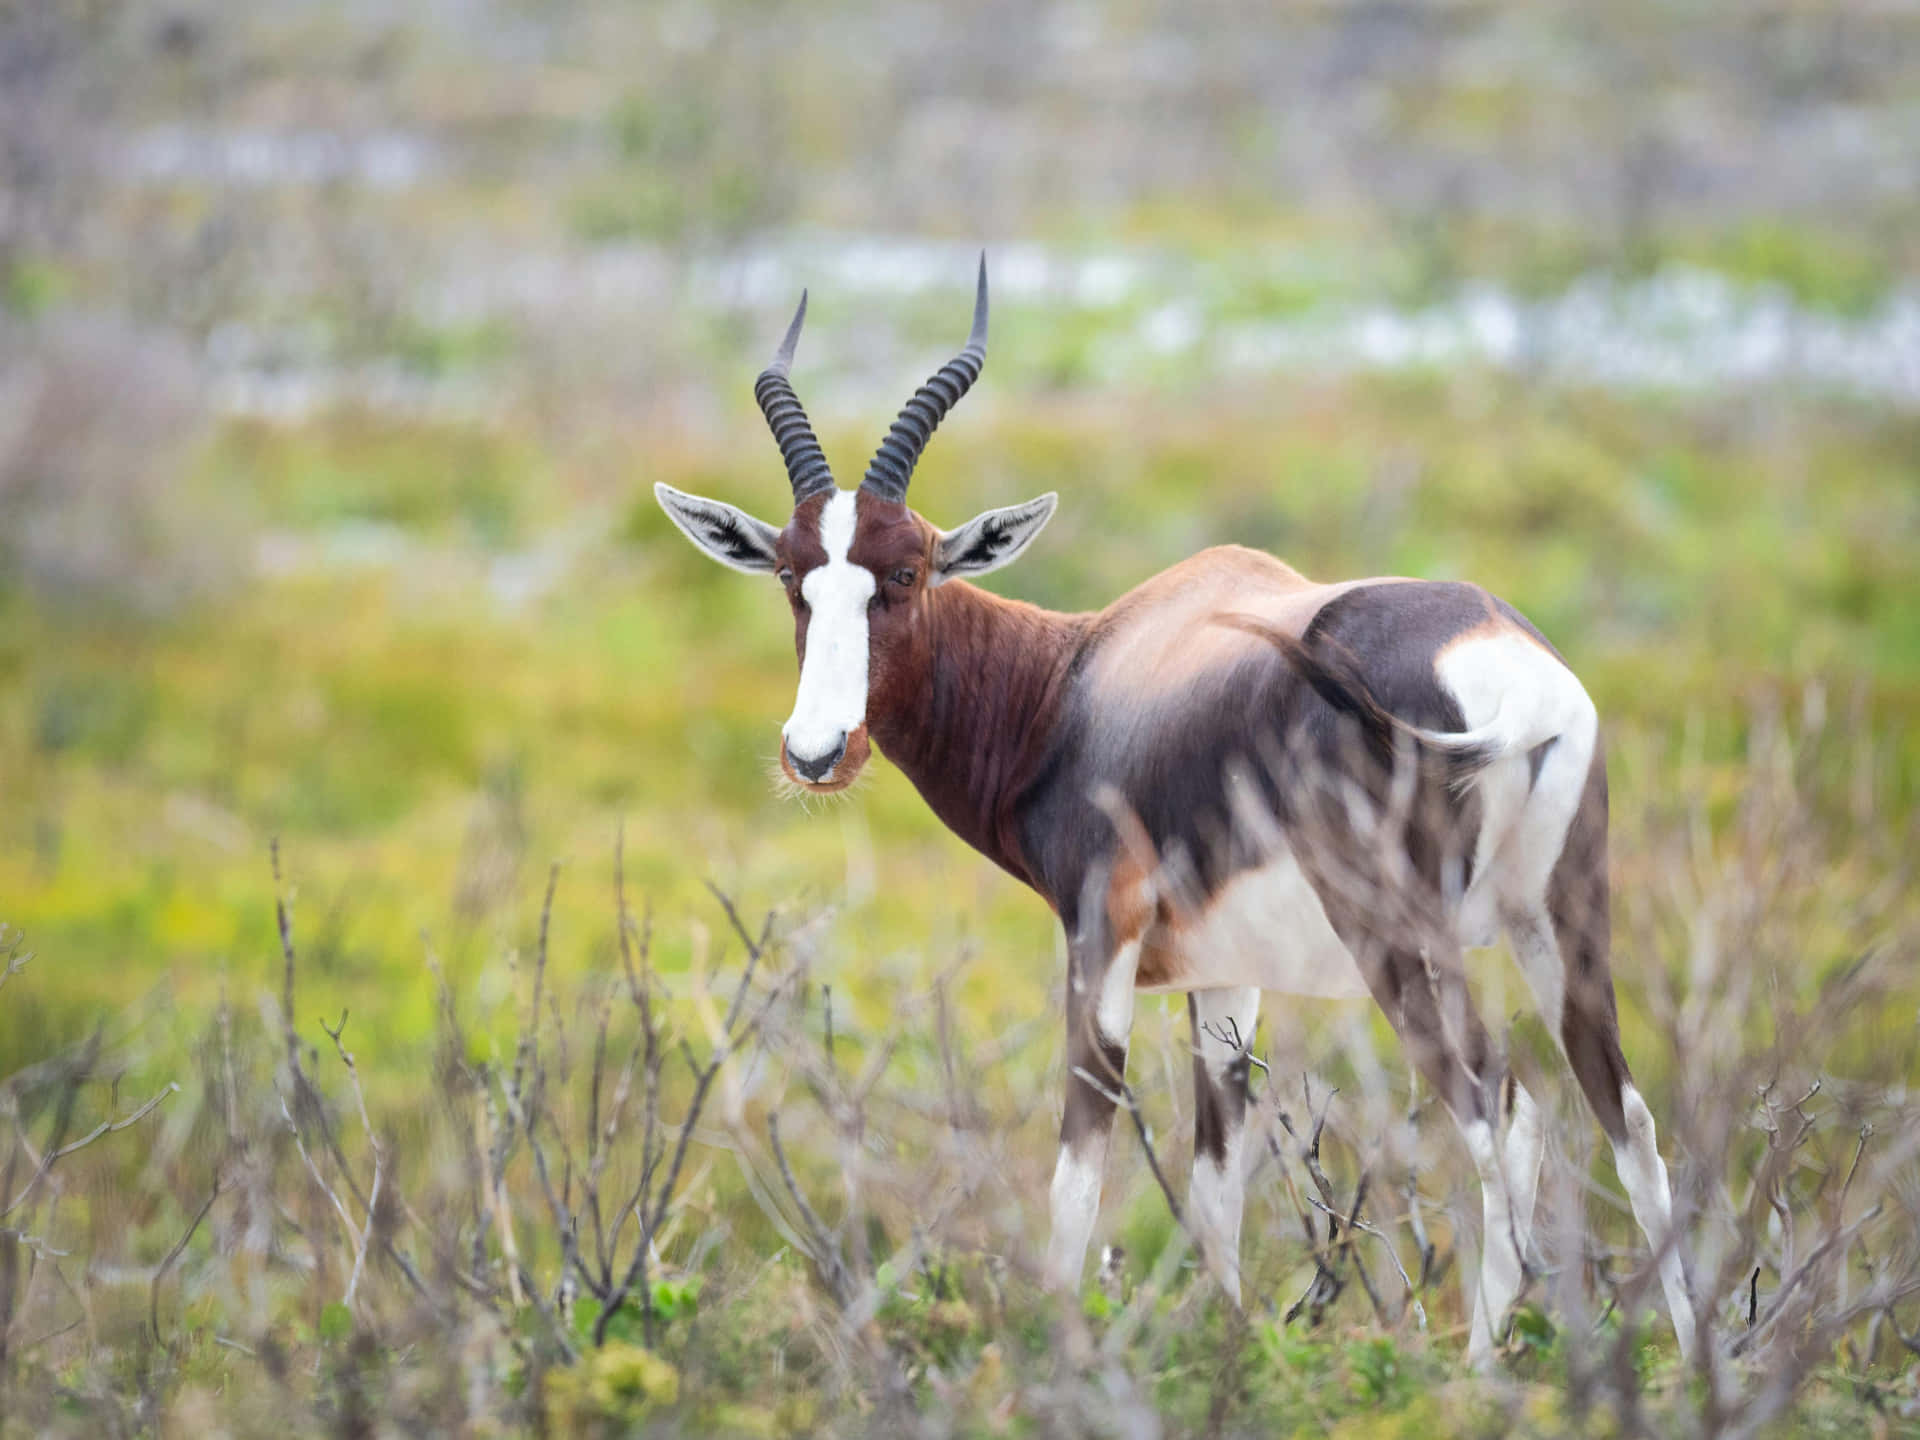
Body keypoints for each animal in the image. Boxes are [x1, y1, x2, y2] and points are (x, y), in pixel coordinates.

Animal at [656, 259, 1697, 1367]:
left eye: (905, 572)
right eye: (790, 575)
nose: (817, 752)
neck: (1077, 681)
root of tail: (1503, 668)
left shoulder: (1101, 937)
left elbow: (1079, 1161)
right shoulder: (1229, 980)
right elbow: (1215, 1183)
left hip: (1403, 939)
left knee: (1499, 1105)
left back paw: (1480, 1370)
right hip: (1561, 925)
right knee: (1628, 1123)